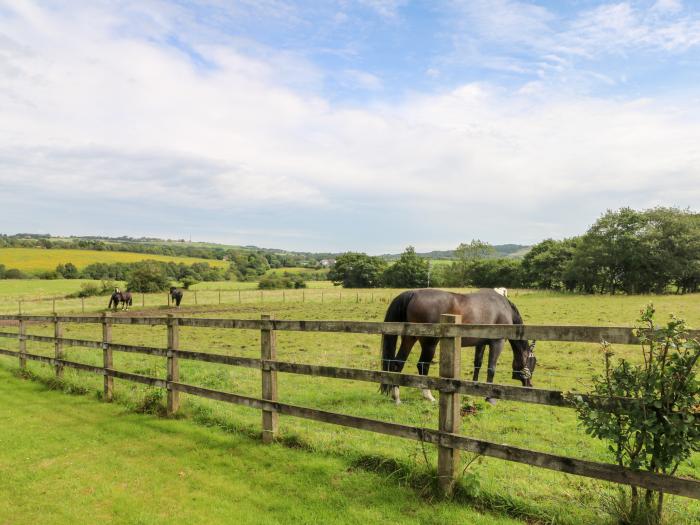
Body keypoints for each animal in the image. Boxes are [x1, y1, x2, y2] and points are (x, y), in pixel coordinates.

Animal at [382, 288, 536, 404]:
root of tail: (413, 293)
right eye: (533, 362)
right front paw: (490, 398)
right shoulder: (497, 343)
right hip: (429, 343)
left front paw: (475, 388)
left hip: (409, 339)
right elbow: (491, 368)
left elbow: (478, 364)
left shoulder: (481, 343)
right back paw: (428, 396)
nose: (529, 385)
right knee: (422, 365)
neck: (503, 308)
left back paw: (396, 397)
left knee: (397, 364)